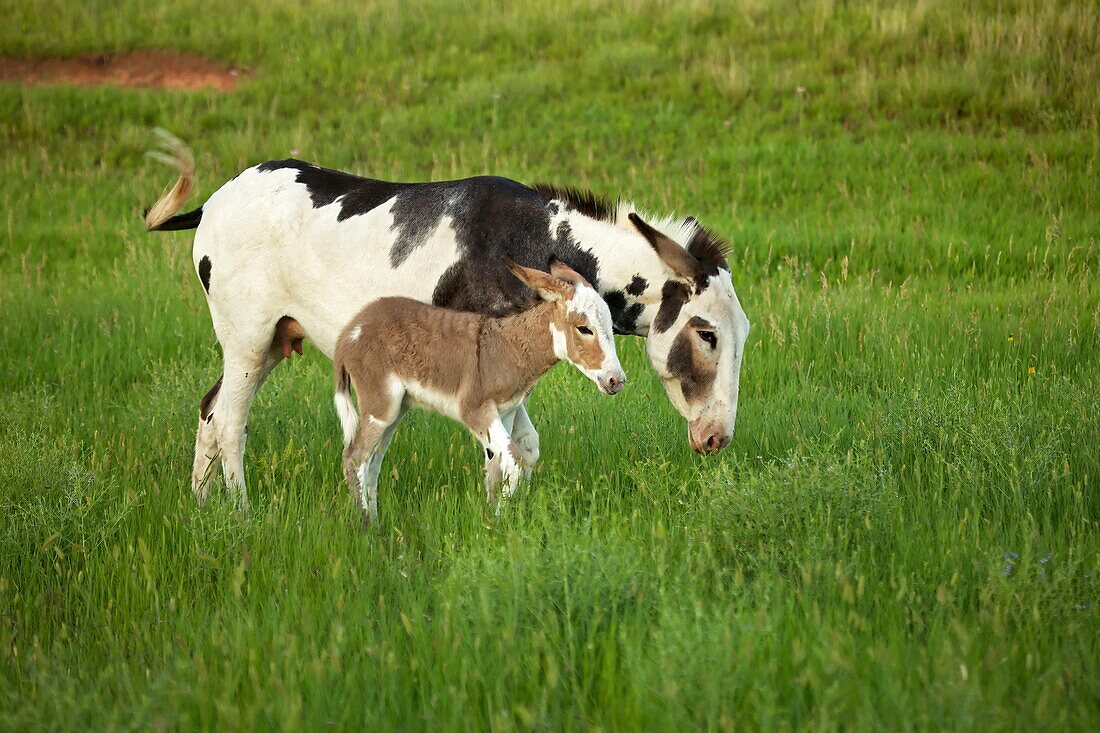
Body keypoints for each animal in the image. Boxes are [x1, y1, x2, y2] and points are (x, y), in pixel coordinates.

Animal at [332, 255, 629, 519]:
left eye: (610, 326)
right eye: (584, 329)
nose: (617, 381)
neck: (508, 347)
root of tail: (349, 334)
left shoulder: (505, 412)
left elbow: (499, 467)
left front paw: (492, 521)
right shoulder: (475, 410)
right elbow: (516, 461)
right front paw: (501, 524)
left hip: (396, 410)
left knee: (372, 463)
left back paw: (376, 525)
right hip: (380, 406)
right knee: (354, 458)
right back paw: (366, 529)